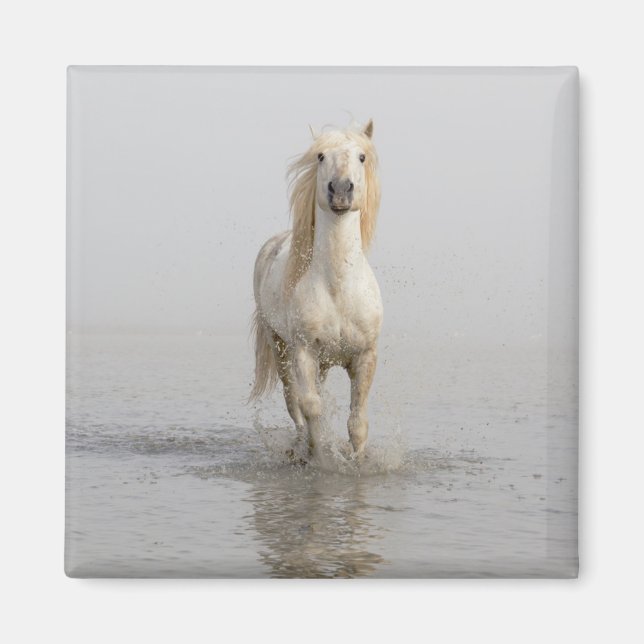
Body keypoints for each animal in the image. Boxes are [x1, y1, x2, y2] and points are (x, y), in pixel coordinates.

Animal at [250, 119, 382, 460]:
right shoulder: (304, 352)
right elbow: (310, 406)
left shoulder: (364, 355)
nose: (341, 190)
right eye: (321, 156)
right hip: (280, 347)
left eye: (362, 156)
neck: (338, 287)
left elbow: (357, 419)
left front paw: (356, 460)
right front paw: (317, 454)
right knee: (293, 401)